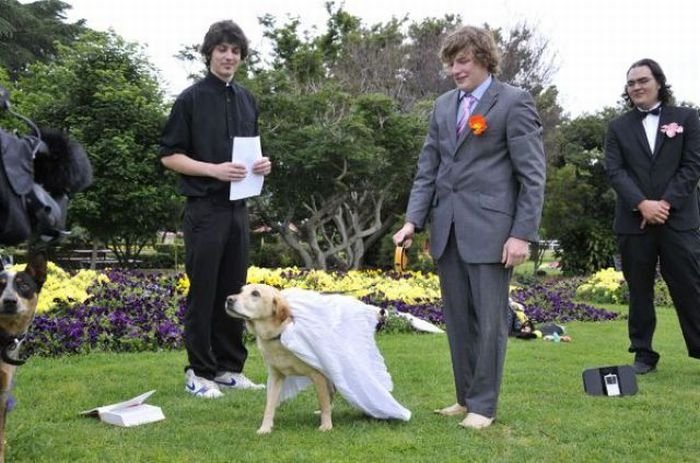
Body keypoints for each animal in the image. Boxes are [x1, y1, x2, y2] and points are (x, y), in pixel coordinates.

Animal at [224, 286, 334, 436]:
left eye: (255, 293)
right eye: (241, 291)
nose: (228, 299)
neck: (280, 335)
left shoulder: (318, 375)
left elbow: (324, 402)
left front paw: (327, 425)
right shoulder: (275, 376)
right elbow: (269, 405)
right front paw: (265, 427)